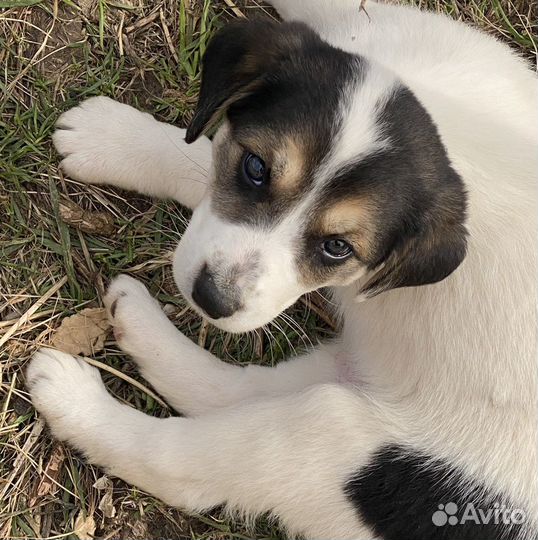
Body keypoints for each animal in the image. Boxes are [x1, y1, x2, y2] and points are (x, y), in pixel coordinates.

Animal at [27, 2, 532, 536]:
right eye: (255, 168)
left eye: (337, 247)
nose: (211, 300)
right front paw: (113, 140)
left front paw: (110, 139)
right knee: (238, 389)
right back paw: (136, 320)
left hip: (350, 446)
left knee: (188, 463)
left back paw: (73, 397)